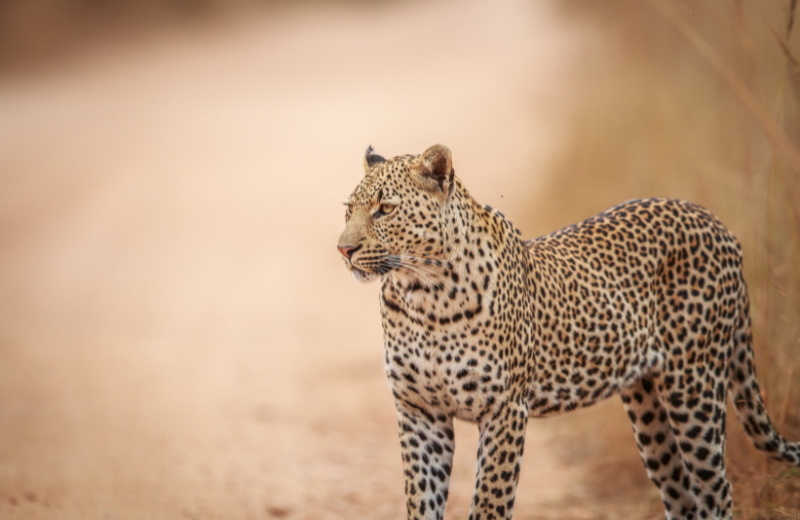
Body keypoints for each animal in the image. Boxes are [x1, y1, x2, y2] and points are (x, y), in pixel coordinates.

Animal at [334, 144, 796, 520]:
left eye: (385, 209)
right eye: (348, 209)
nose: (344, 249)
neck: (422, 297)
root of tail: (720, 225)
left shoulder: (504, 410)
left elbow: (490, 502)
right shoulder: (419, 412)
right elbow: (421, 501)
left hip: (694, 388)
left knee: (716, 490)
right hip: (648, 407)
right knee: (682, 495)